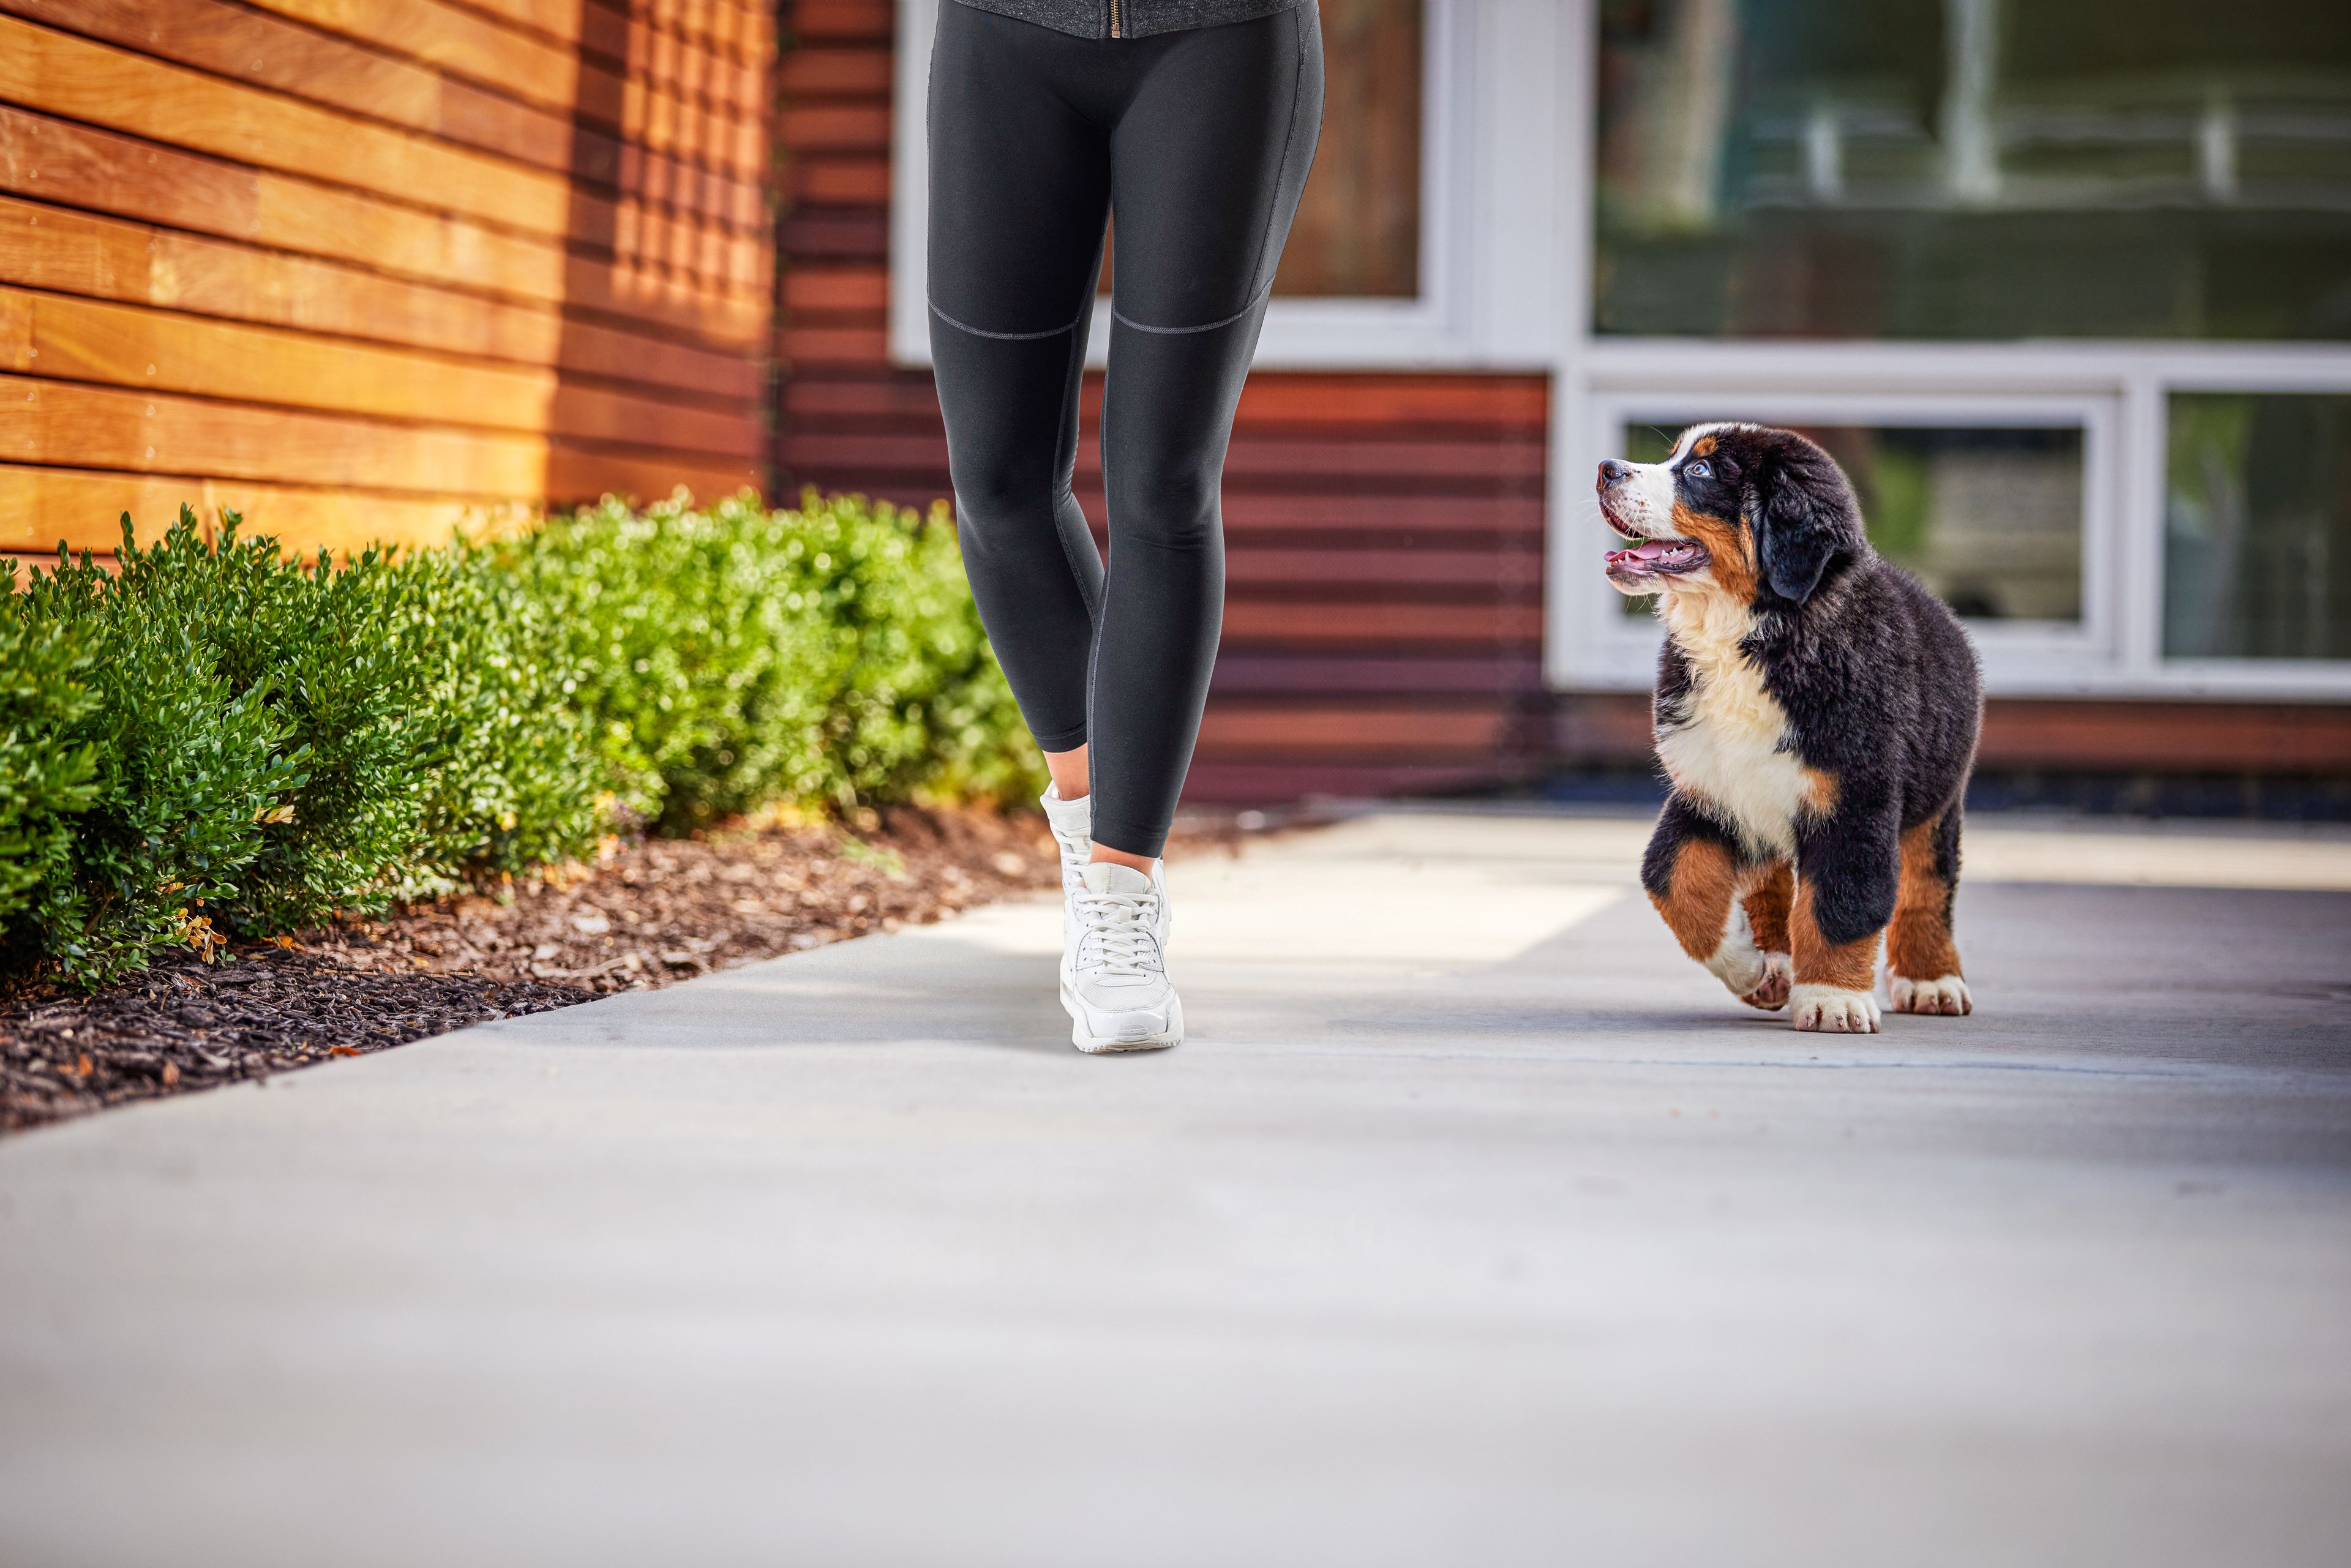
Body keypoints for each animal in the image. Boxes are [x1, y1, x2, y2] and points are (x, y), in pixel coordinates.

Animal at [1599, 423, 1984, 1034]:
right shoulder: (1708, 790)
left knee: (1927, 886)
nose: (1606, 469)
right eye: (1673, 456)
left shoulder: (1853, 802)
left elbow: (1839, 906)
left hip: (1937, 801)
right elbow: (1672, 879)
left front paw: (1832, 998)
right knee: (1767, 878)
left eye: (1701, 471)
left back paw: (1932, 981)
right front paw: (1747, 963)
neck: (1748, 638)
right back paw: (1774, 962)